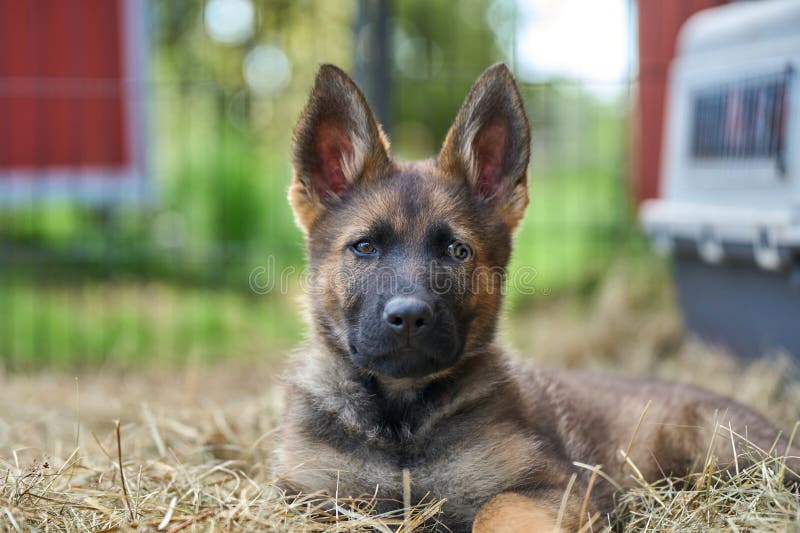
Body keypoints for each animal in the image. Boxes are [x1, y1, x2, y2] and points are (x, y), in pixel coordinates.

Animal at [276, 64, 800, 528]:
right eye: (365, 247)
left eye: (457, 250)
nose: (408, 317)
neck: (400, 419)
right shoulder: (308, 497)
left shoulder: (557, 487)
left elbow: (496, 508)